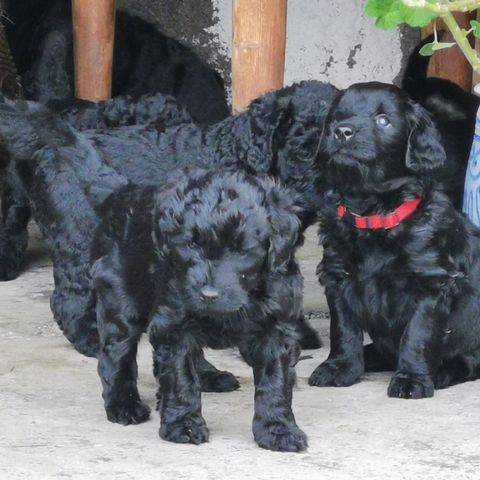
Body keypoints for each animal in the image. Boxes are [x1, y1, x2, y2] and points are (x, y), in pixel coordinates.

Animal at [90, 169, 308, 450]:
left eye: (242, 249)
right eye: (190, 245)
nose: (208, 295)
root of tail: (120, 193)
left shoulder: (277, 328)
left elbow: (275, 381)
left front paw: (278, 429)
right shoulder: (174, 324)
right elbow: (181, 377)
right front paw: (183, 425)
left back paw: (207, 377)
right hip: (118, 294)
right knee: (117, 353)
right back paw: (124, 404)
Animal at [310, 83, 480, 402]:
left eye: (383, 121)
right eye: (338, 117)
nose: (342, 131)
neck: (373, 216)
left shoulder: (430, 284)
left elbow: (417, 335)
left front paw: (412, 379)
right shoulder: (337, 277)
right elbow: (343, 329)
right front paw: (340, 367)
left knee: (468, 362)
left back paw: (441, 372)